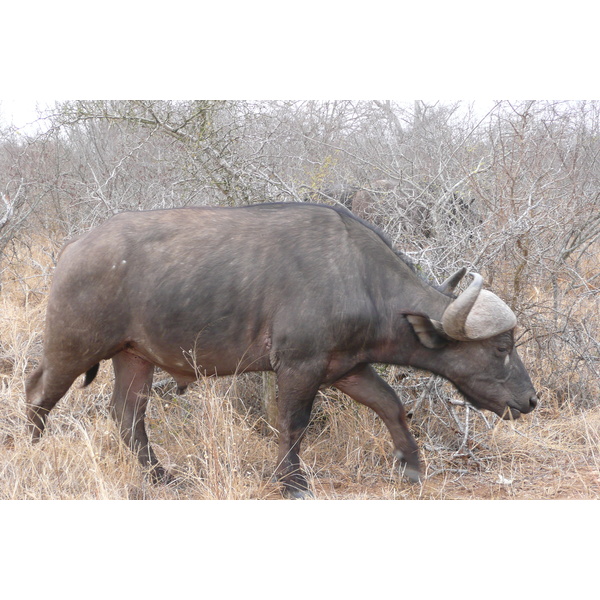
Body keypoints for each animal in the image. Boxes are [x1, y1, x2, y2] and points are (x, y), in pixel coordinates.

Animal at [24, 204, 540, 500]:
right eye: (501, 347)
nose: (531, 400)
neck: (360, 278)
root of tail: (73, 250)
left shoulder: (348, 368)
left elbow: (392, 406)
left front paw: (411, 466)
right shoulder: (298, 367)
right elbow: (293, 425)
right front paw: (292, 483)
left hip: (135, 358)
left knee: (127, 414)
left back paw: (160, 477)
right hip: (72, 348)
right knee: (37, 392)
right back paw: (31, 448)